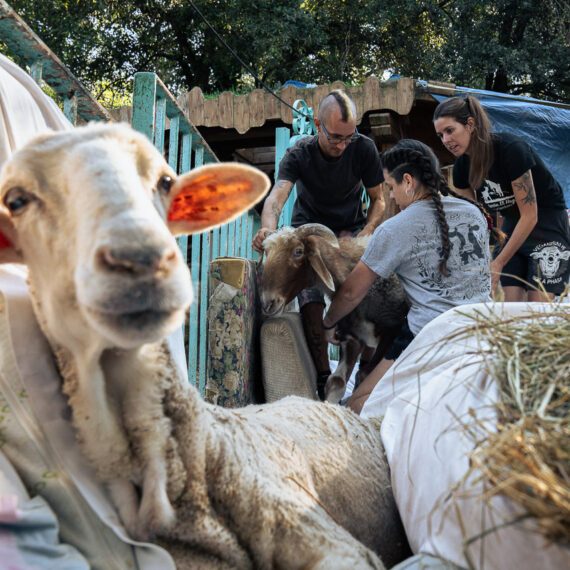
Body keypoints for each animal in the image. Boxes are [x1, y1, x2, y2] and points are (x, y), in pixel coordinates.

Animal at [258, 224, 408, 402]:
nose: (268, 303)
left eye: (298, 251)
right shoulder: (351, 338)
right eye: (266, 252)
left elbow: (366, 376)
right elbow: (337, 382)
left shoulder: (391, 334)